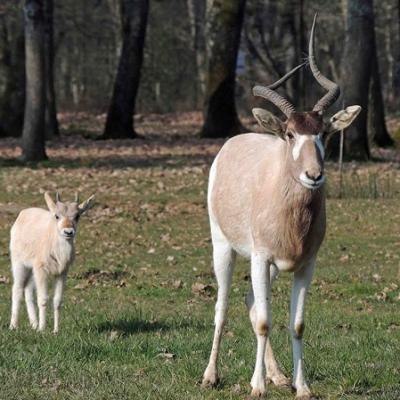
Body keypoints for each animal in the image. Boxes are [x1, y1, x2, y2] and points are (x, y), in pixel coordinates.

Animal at [202, 14, 360, 396]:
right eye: (290, 133)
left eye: (324, 132)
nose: (313, 175)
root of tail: (231, 144)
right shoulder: (260, 258)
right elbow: (263, 321)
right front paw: (257, 387)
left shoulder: (305, 264)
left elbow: (297, 324)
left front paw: (301, 387)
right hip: (224, 247)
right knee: (223, 305)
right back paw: (212, 375)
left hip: (269, 266)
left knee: (250, 301)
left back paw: (277, 375)